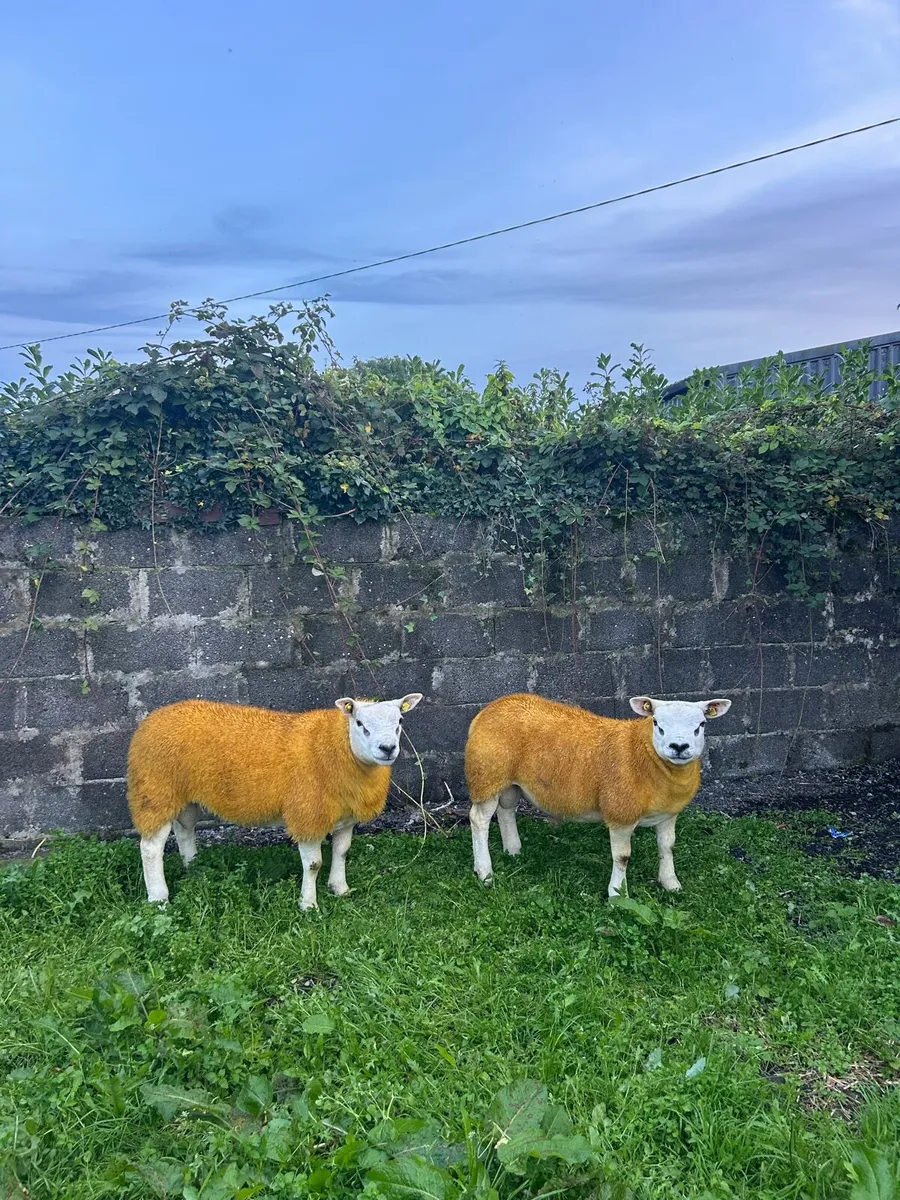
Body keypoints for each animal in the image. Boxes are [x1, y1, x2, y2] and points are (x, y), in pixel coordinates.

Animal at [127, 692, 423, 908]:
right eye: (360, 724)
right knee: (150, 848)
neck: (337, 747)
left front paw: (340, 888)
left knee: (184, 829)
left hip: (183, 794)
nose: (387, 748)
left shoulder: (345, 816)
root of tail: (153, 718)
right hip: (154, 790)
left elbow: (342, 852)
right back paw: (159, 898)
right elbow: (313, 864)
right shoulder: (307, 814)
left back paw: (194, 869)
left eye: (400, 722)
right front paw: (308, 904)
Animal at [465, 692, 731, 898]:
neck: (644, 754)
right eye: (656, 723)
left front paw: (670, 883)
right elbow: (622, 857)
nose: (679, 747)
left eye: (701, 724)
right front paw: (617, 894)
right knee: (479, 819)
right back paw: (485, 872)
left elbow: (667, 847)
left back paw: (513, 850)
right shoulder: (620, 811)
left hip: (506, 780)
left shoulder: (668, 814)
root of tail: (492, 707)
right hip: (486, 774)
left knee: (506, 810)